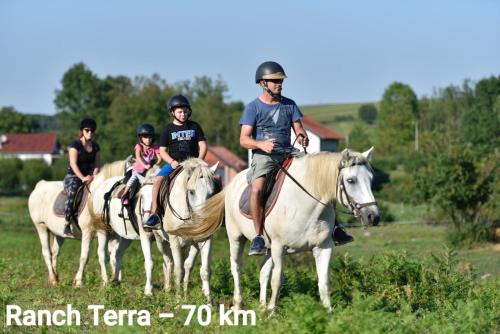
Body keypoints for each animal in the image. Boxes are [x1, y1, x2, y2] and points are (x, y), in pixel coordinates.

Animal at [27, 160, 129, 288]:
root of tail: (41, 185)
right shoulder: (91, 232)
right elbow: (87, 256)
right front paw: (80, 281)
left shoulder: (112, 234)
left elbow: (113, 256)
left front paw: (114, 280)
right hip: (41, 227)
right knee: (46, 253)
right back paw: (53, 280)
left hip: (58, 234)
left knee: (55, 253)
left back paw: (55, 278)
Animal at [90, 158, 219, 298]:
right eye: (191, 191)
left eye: (212, 194)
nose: (205, 219)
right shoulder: (155, 237)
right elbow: (154, 264)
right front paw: (151, 292)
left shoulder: (202, 239)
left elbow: (202, 270)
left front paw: (207, 299)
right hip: (104, 231)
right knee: (102, 255)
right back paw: (105, 282)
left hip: (126, 237)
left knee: (118, 254)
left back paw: (116, 281)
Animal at [171, 147, 378, 312]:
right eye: (351, 180)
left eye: (371, 179)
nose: (373, 216)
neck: (307, 202)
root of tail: (231, 183)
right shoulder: (280, 247)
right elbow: (277, 280)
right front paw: (272, 312)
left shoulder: (323, 247)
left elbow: (323, 282)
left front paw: (329, 313)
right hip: (237, 238)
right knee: (236, 268)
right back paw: (239, 304)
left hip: (267, 247)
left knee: (263, 272)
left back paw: (262, 306)